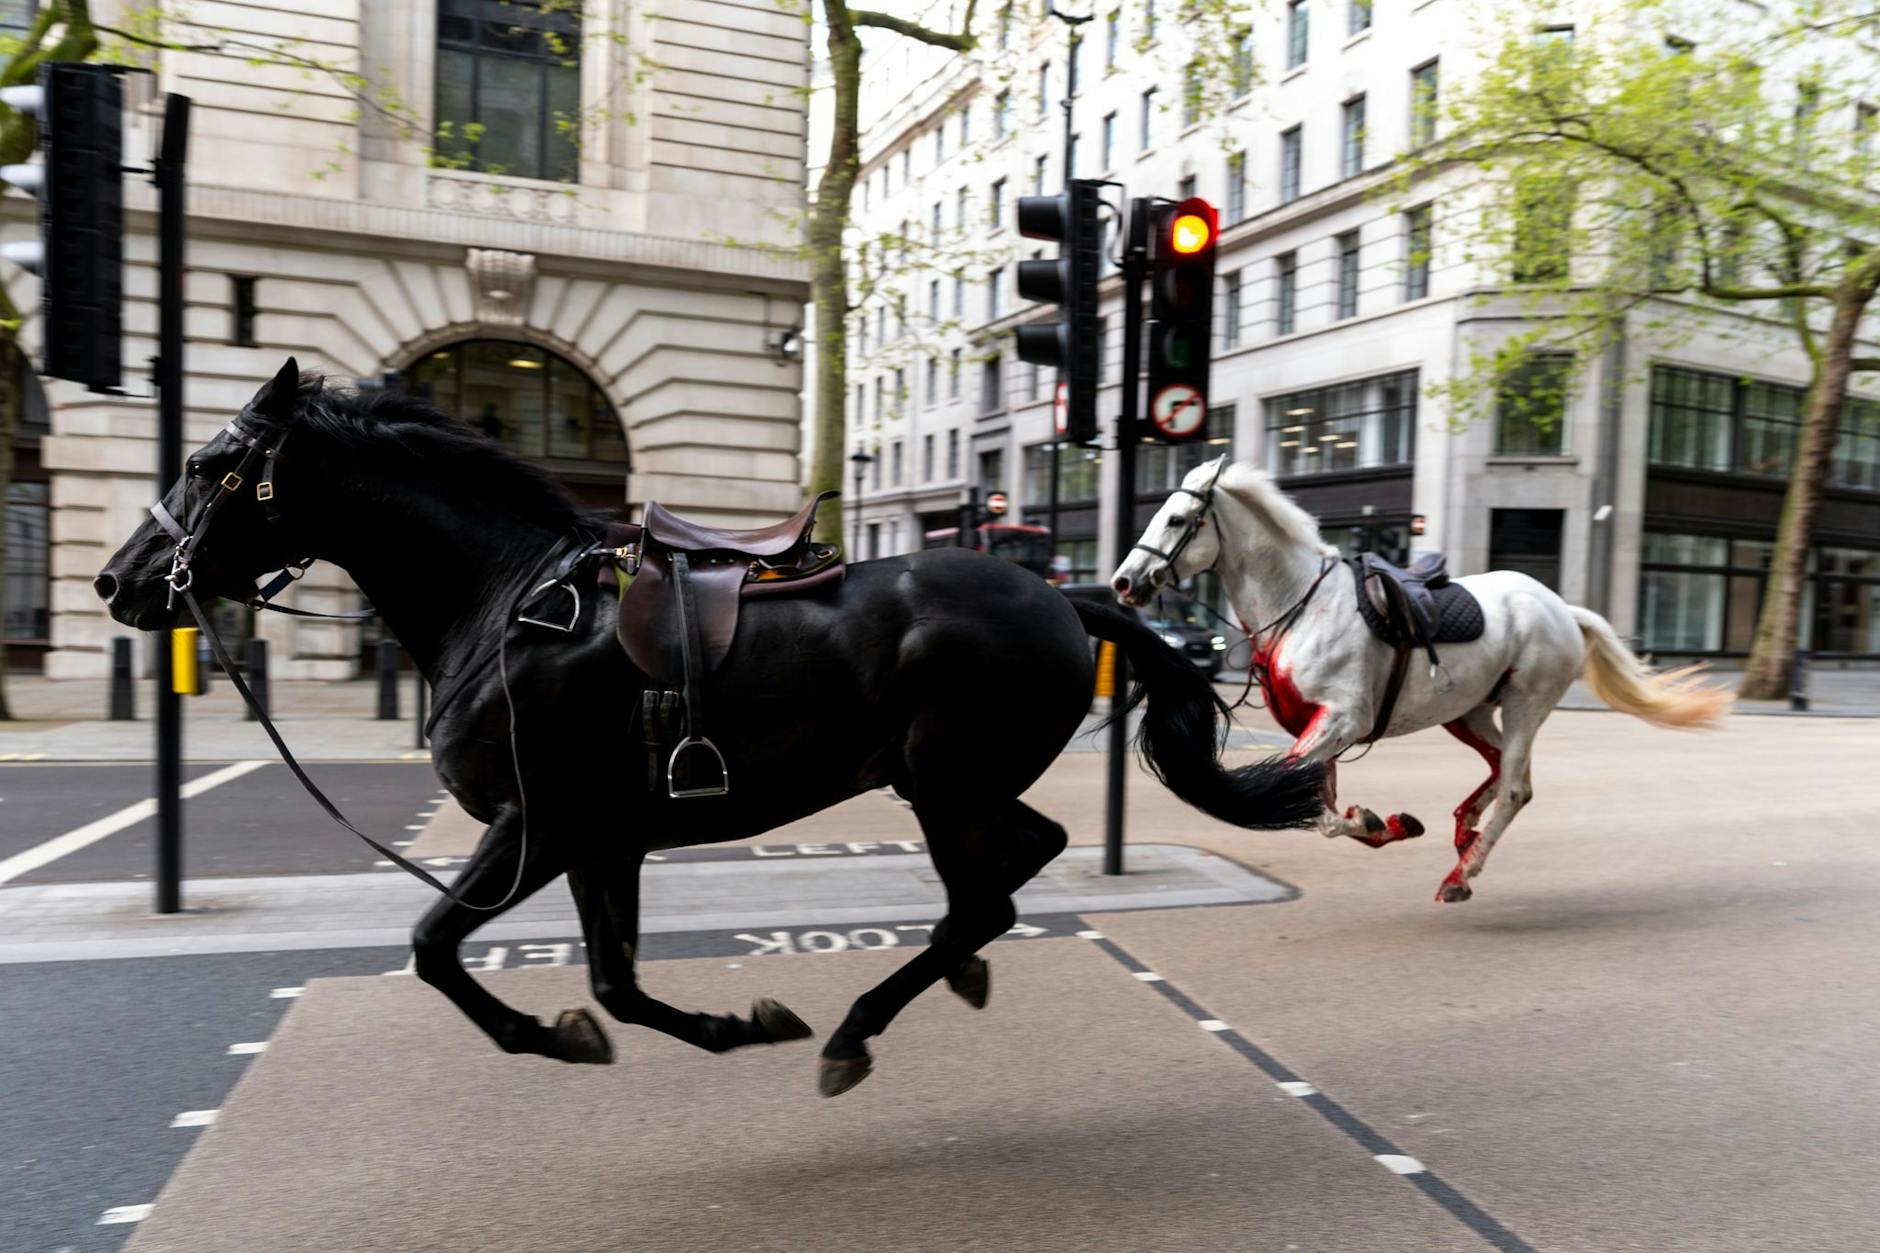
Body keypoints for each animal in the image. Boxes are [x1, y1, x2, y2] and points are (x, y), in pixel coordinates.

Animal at [94, 360, 1327, 1097]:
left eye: (207, 464)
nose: (117, 581)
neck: (504, 602)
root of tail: (1062, 596)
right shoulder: (602, 838)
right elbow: (613, 982)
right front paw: (713, 1024)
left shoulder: (539, 824)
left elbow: (438, 944)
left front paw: (553, 1034)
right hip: (951, 781)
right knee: (1020, 863)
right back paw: (948, 977)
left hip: (942, 780)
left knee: (988, 892)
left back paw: (858, 1027)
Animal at [1109, 457, 1730, 903]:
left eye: (1175, 519)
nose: (1123, 581)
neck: (1300, 604)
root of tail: (1560, 606)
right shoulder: (1320, 726)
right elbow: (1319, 803)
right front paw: (1384, 822)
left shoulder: (1342, 719)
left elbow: (1311, 806)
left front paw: (1372, 820)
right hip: (1469, 711)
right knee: (1503, 769)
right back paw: (1464, 832)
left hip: (1526, 702)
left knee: (1515, 787)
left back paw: (1461, 874)